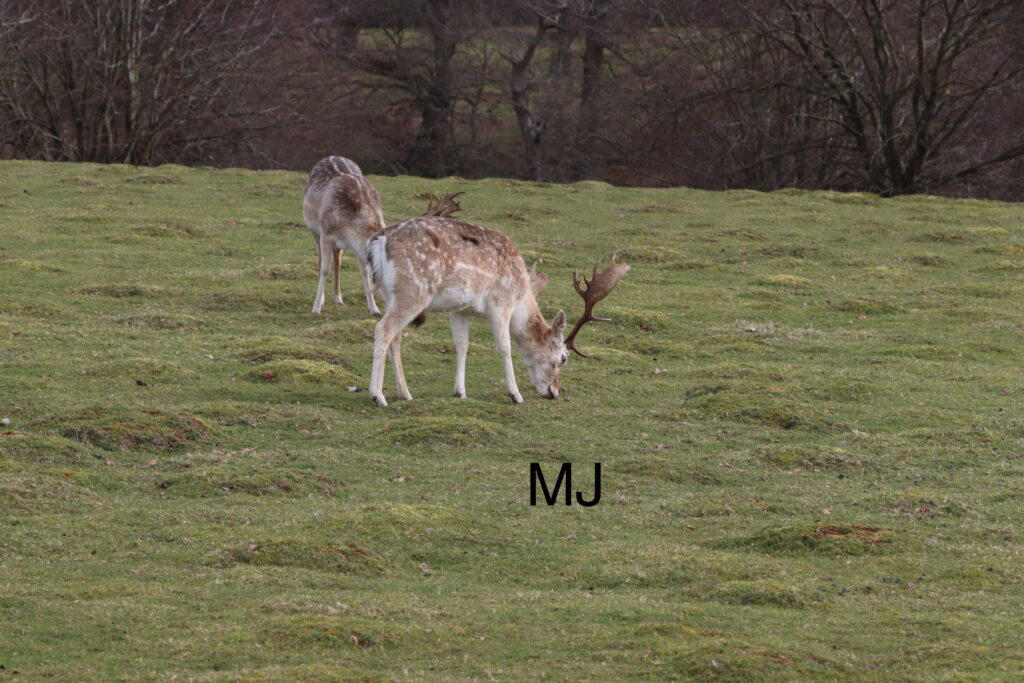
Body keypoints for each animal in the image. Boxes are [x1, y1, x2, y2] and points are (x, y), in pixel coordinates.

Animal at [302, 156, 386, 316]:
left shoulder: (358, 247)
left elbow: (364, 272)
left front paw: (374, 309)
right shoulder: (326, 234)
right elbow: (324, 269)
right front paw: (316, 308)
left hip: (337, 245)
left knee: (338, 262)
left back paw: (338, 297)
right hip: (314, 230)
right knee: (320, 258)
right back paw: (323, 299)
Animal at [364, 200, 629, 406]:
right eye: (563, 358)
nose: (554, 392)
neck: (521, 295)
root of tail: (377, 243)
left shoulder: (460, 309)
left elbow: (462, 345)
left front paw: (460, 392)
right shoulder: (500, 304)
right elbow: (505, 346)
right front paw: (516, 394)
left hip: (391, 294)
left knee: (396, 336)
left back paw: (405, 393)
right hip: (413, 291)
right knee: (383, 329)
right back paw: (378, 396)